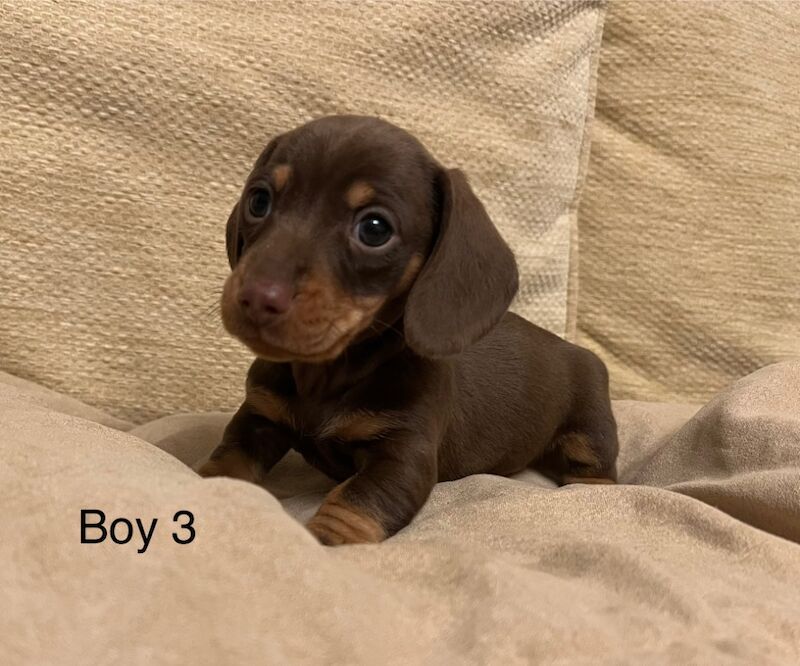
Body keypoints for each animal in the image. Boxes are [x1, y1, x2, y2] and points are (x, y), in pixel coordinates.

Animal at [200, 115, 620, 544]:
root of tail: (576, 349)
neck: (326, 375)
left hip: (592, 430)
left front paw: (326, 540)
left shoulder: (403, 453)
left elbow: (357, 501)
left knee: (600, 474)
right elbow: (227, 461)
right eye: (258, 201)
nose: (256, 297)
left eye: (374, 229)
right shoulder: (259, 416)